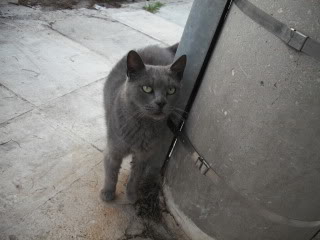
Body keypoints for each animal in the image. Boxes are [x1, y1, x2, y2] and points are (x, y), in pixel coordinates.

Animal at [100, 43, 185, 202]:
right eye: (147, 88)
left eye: (171, 90)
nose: (161, 102)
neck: (142, 126)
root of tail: (164, 48)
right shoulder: (114, 150)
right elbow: (111, 173)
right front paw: (107, 192)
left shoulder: (143, 155)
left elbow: (135, 176)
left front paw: (131, 195)